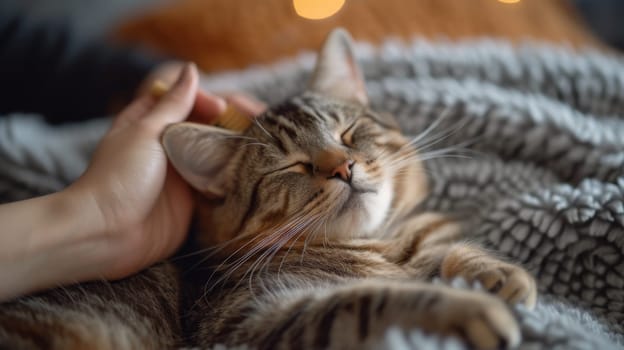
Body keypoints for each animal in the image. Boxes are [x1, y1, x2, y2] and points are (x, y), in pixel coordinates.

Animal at [0, 28, 536, 348]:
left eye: (346, 134)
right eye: (293, 166)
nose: (343, 168)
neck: (380, 247)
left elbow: (446, 253)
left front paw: (494, 273)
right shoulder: (254, 319)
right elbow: (369, 300)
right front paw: (473, 307)